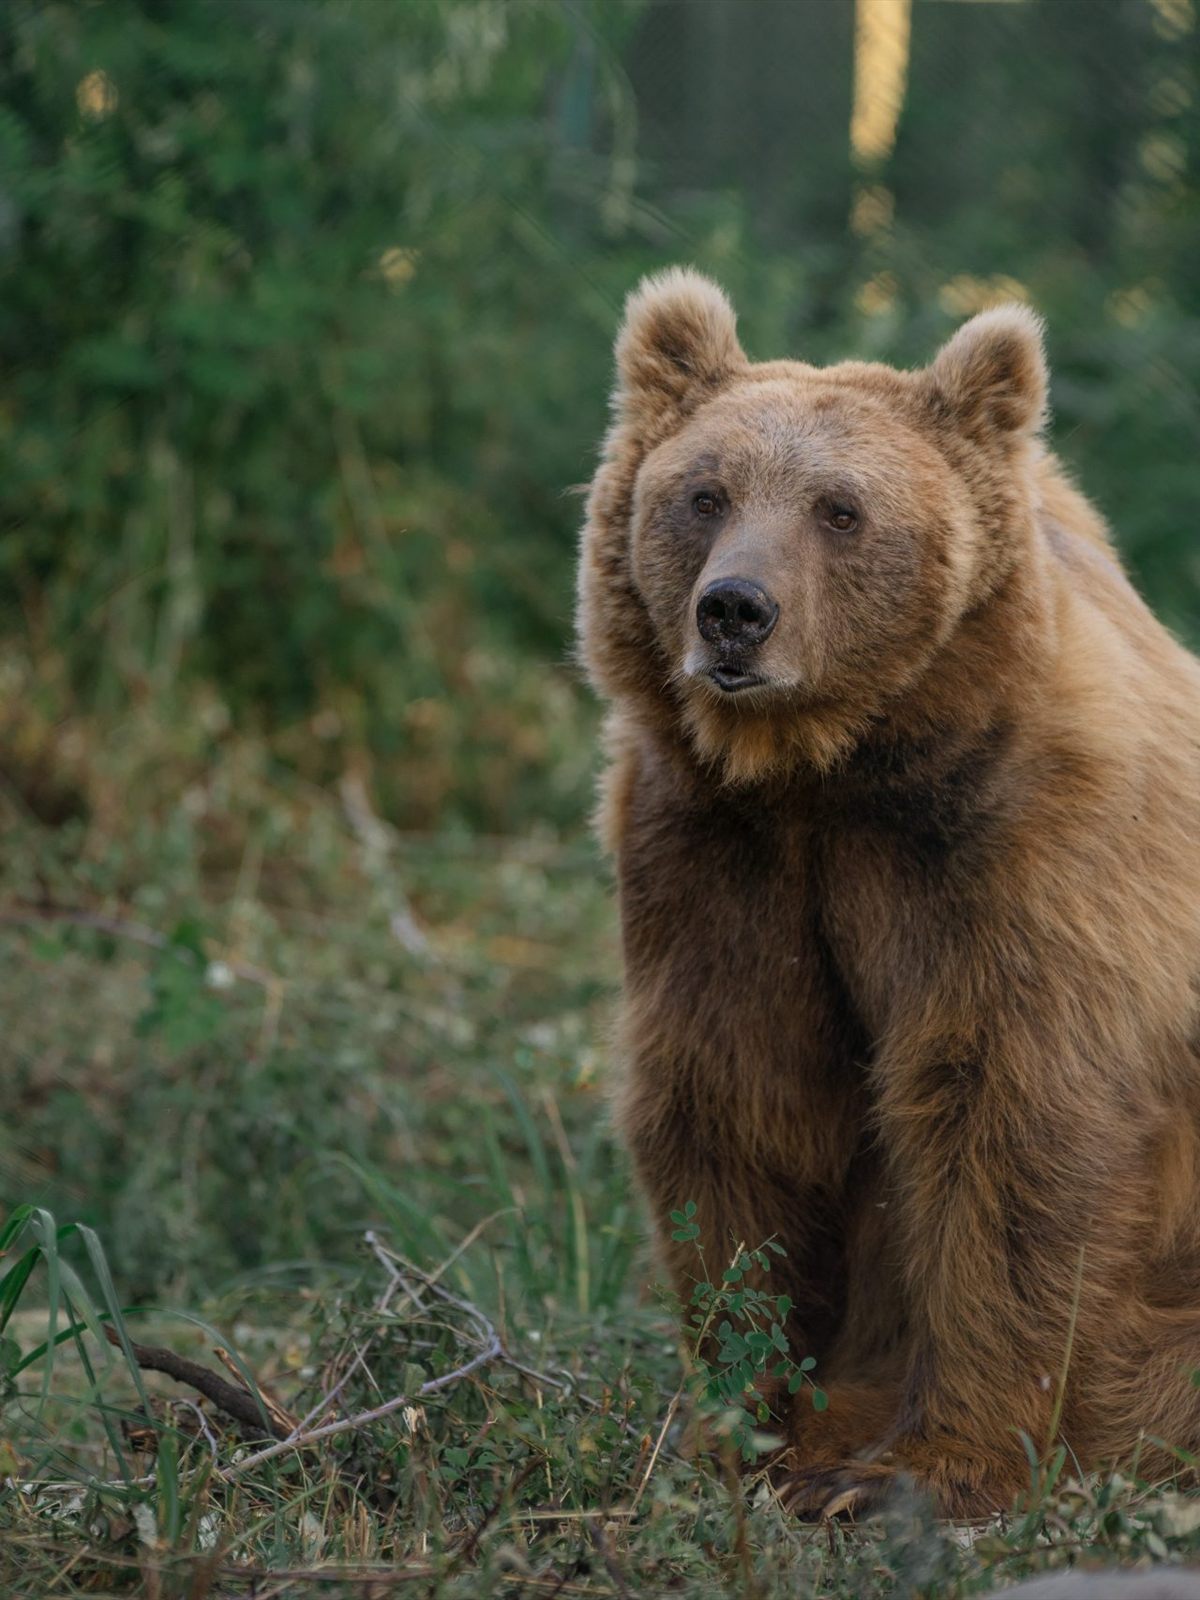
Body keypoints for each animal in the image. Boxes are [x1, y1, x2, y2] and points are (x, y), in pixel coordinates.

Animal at [576, 267, 1200, 1518]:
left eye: (841, 508)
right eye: (705, 493)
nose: (735, 611)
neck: (829, 768)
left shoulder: (1014, 858)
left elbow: (1009, 1124)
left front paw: (931, 1463)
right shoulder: (719, 861)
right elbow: (739, 1100)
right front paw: (753, 1419)